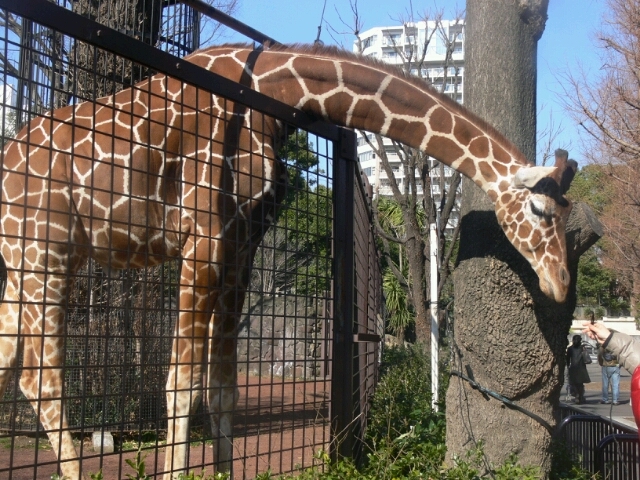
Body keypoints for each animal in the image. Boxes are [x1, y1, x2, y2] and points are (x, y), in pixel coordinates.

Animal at [0, 44, 577, 479]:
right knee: (42, 382)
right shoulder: (201, 238)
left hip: (27, 262)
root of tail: (6, 168)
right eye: (541, 209)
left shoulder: (241, 245)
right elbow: (182, 387)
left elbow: (222, 390)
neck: (271, 90)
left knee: (15, 368)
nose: (559, 283)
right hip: (46, 252)